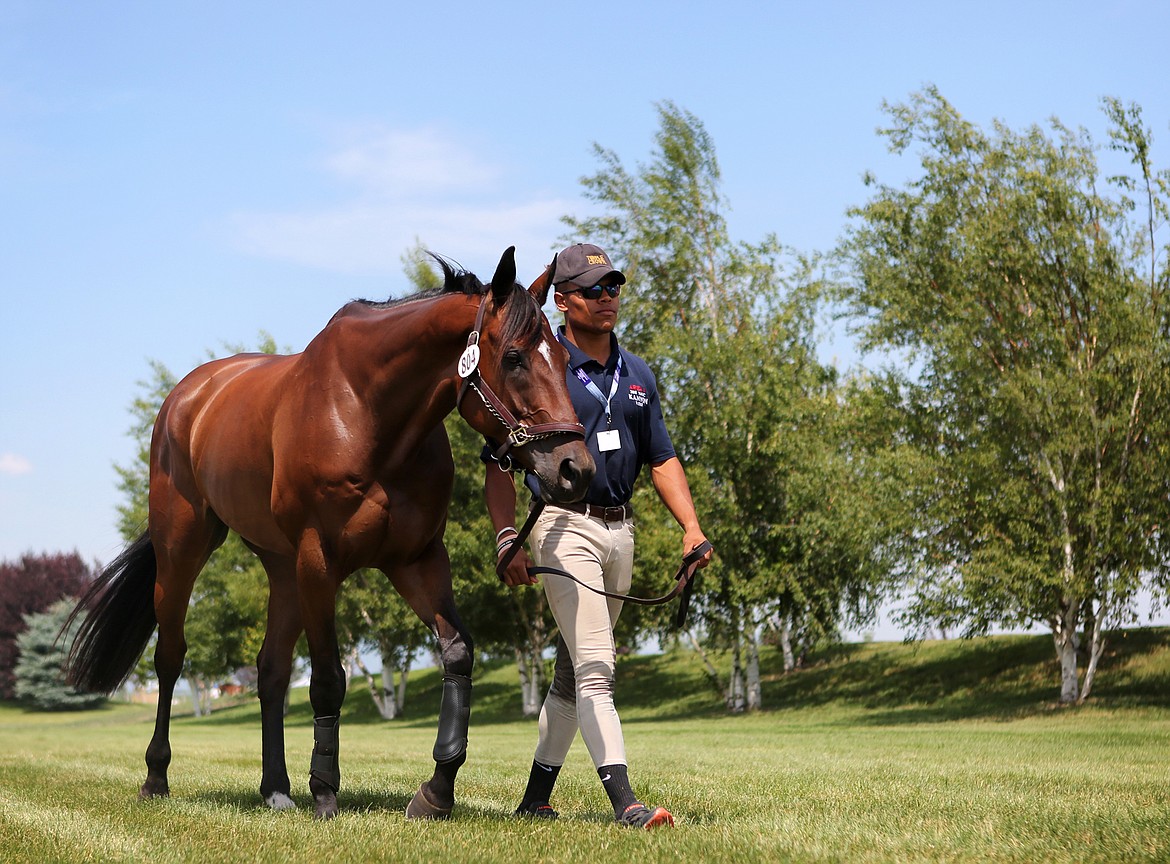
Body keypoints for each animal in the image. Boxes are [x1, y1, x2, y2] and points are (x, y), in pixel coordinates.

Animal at [64, 245, 594, 819]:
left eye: (563, 357)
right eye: (515, 357)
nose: (575, 469)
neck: (366, 412)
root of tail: (189, 396)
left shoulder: (417, 560)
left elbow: (457, 652)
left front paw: (437, 789)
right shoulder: (319, 560)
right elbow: (327, 679)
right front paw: (324, 790)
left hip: (281, 567)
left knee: (271, 669)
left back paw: (275, 788)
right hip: (185, 545)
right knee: (171, 656)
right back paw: (156, 778)